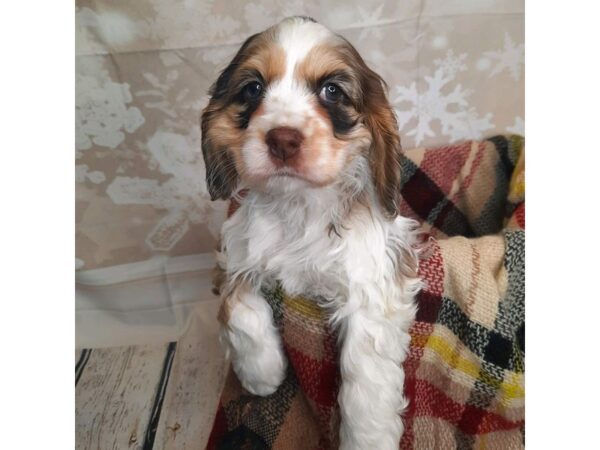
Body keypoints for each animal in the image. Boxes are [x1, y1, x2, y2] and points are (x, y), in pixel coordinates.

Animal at [202, 15, 422, 448]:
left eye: (332, 90)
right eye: (252, 88)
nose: (283, 139)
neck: (298, 206)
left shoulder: (373, 284)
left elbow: (366, 374)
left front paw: (367, 438)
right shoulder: (233, 253)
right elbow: (240, 307)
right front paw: (262, 375)